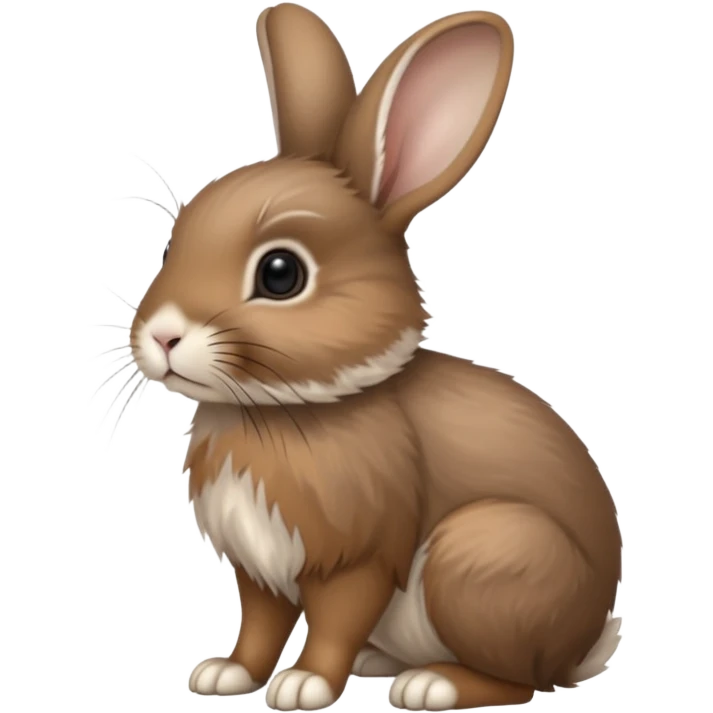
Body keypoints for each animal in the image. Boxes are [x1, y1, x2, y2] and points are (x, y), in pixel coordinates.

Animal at [128, 3, 622, 711]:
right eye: (174, 241)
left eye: (280, 273)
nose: (163, 336)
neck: (277, 411)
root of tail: (580, 647)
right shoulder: (260, 568)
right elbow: (259, 624)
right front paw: (227, 675)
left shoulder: (358, 557)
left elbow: (335, 619)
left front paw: (304, 685)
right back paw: (379, 661)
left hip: (483, 560)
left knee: (518, 681)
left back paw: (431, 684)